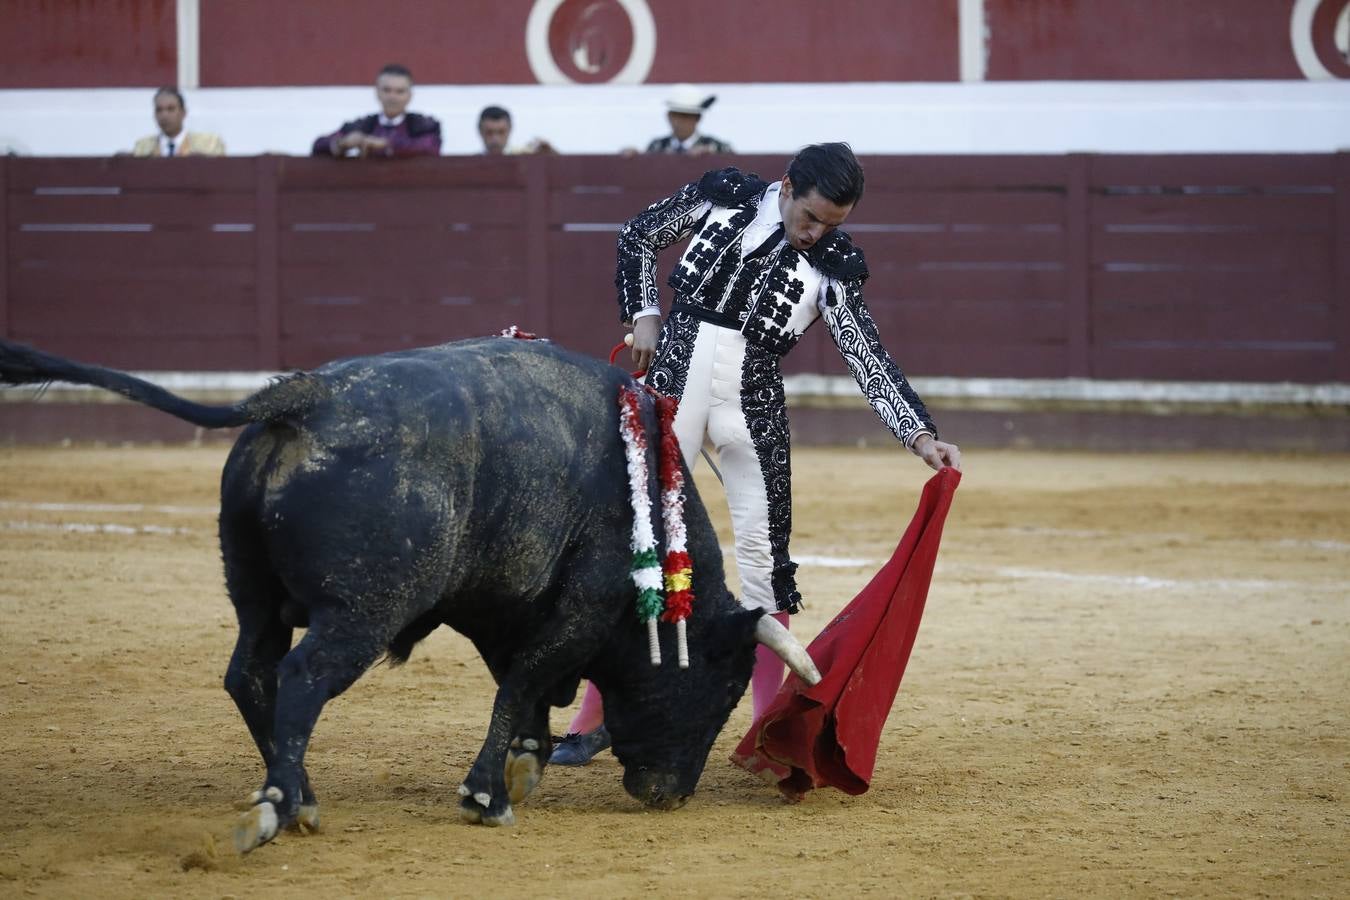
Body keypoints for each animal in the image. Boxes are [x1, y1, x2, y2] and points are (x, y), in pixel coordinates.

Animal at [0, 335, 815, 852]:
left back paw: (299, 794)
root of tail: (304, 397)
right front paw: (488, 795)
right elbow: (526, 675)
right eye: (722, 690)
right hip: (363, 610)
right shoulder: (580, 605)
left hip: (253, 595)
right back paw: (277, 809)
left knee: (250, 672)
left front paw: (525, 760)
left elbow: (519, 681)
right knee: (303, 677)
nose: (669, 794)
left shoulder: (494, 603)